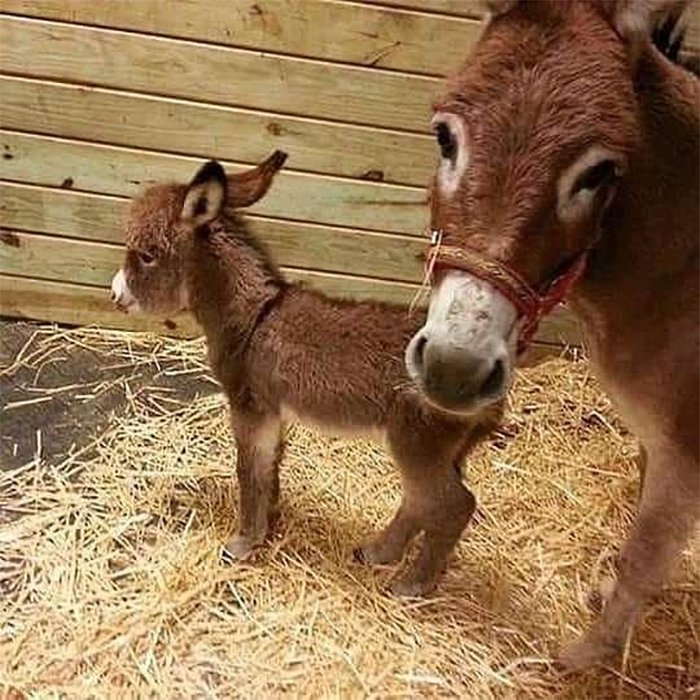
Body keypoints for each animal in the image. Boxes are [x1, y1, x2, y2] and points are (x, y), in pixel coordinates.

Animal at [112, 152, 500, 596]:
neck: (253, 318)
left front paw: (243, 543)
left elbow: (248, 470)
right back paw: (377, 553)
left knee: (453, 506)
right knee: (422, 501)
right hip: (439, 449)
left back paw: (410, 586)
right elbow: (271, 467)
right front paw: (270, 522)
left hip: (417, 442)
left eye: (146, 254)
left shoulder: (250, 407)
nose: (115, 295)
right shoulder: (273, 411)